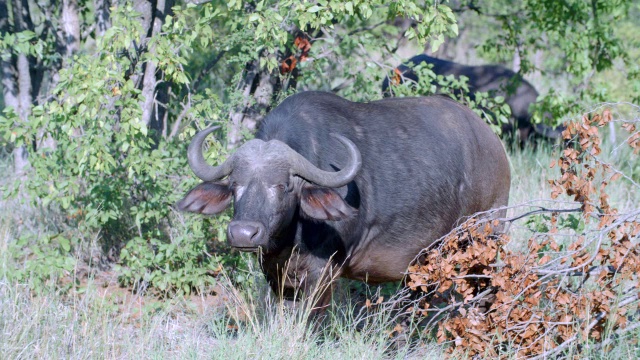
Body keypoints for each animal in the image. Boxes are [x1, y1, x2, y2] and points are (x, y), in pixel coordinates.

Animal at [178, 91, 512, 314]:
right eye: (236, 185)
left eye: (284, 186)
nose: (243, 233)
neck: (292, 237)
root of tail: (493, 143)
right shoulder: (276, 276)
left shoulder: (323, 275)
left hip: (484, 237)